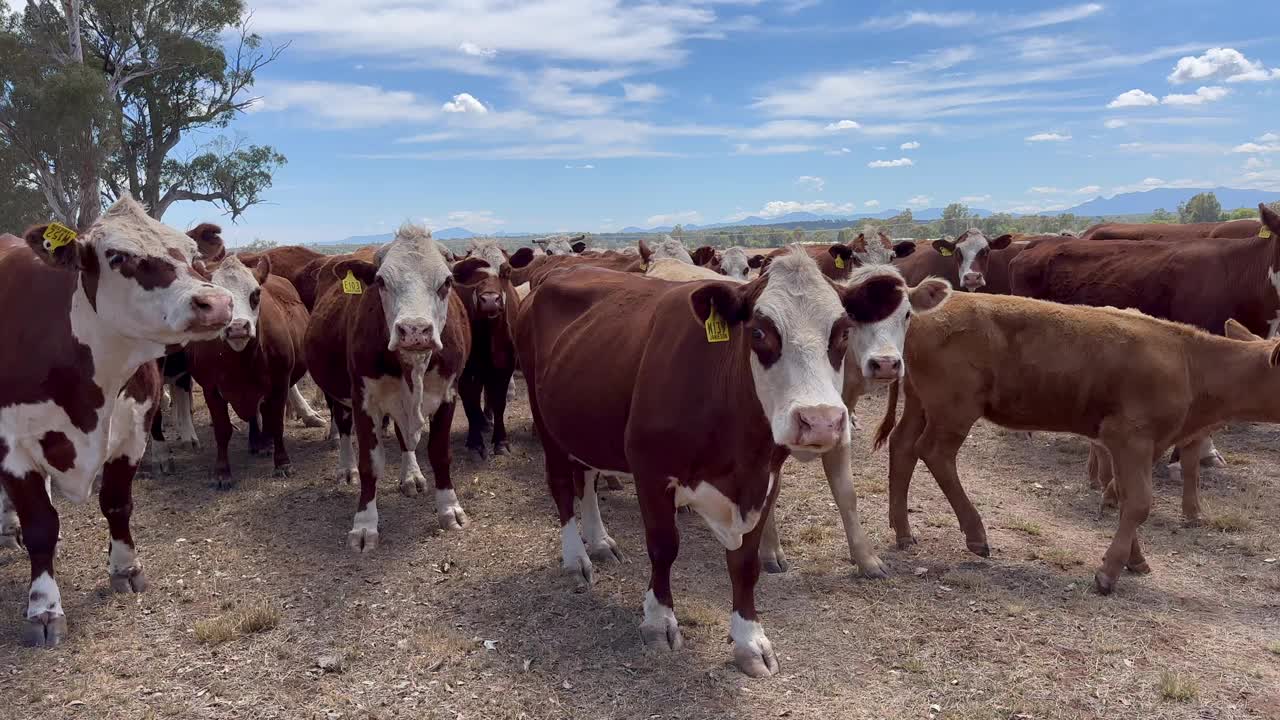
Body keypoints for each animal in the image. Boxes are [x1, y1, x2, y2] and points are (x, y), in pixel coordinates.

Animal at [183, 254, 314, 484]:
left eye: (256, 294)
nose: (237, 327)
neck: (240, 362)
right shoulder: (211, 389)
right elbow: (222, 430)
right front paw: (222, 472)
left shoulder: (280, 383)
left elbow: (276, 423)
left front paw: (282, 463)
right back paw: (256, 442)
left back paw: (265, 443)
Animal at [304, 221, 476, 545]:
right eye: (381, 281)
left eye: (447, 282)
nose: (415, 330)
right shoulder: (364, 400)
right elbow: (370, 464)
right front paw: (364, 524)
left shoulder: (448, 393)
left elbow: (439, 454)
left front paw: (449, 509)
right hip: (338, 393)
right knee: (343, 427)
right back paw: (345, 468)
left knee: (404, 438)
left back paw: (411, 476)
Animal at [509, 244, 901, 671]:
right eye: (759, 332)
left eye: (843, 332)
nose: (821, 421)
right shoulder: (651, 471)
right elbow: (663, 547)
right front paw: (658, 621)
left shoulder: (763, 478)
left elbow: (745, 562)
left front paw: (750, 640)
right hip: (547, 423)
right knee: (564, 487)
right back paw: (576, 557)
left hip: (585, 423)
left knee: (588, 480)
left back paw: (599, 542)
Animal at [880, 292, 1280, 594]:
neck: (1188, 362)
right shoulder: (1129, 436)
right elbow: (1139, 503)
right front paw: (1109, 573)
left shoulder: (1139, 445)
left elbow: (1122, 495)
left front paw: (1135, 560)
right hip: (954, 408)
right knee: (935, 453)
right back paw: (976, 535)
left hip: (920, 402)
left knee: (902, 446)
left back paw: (903, 532)